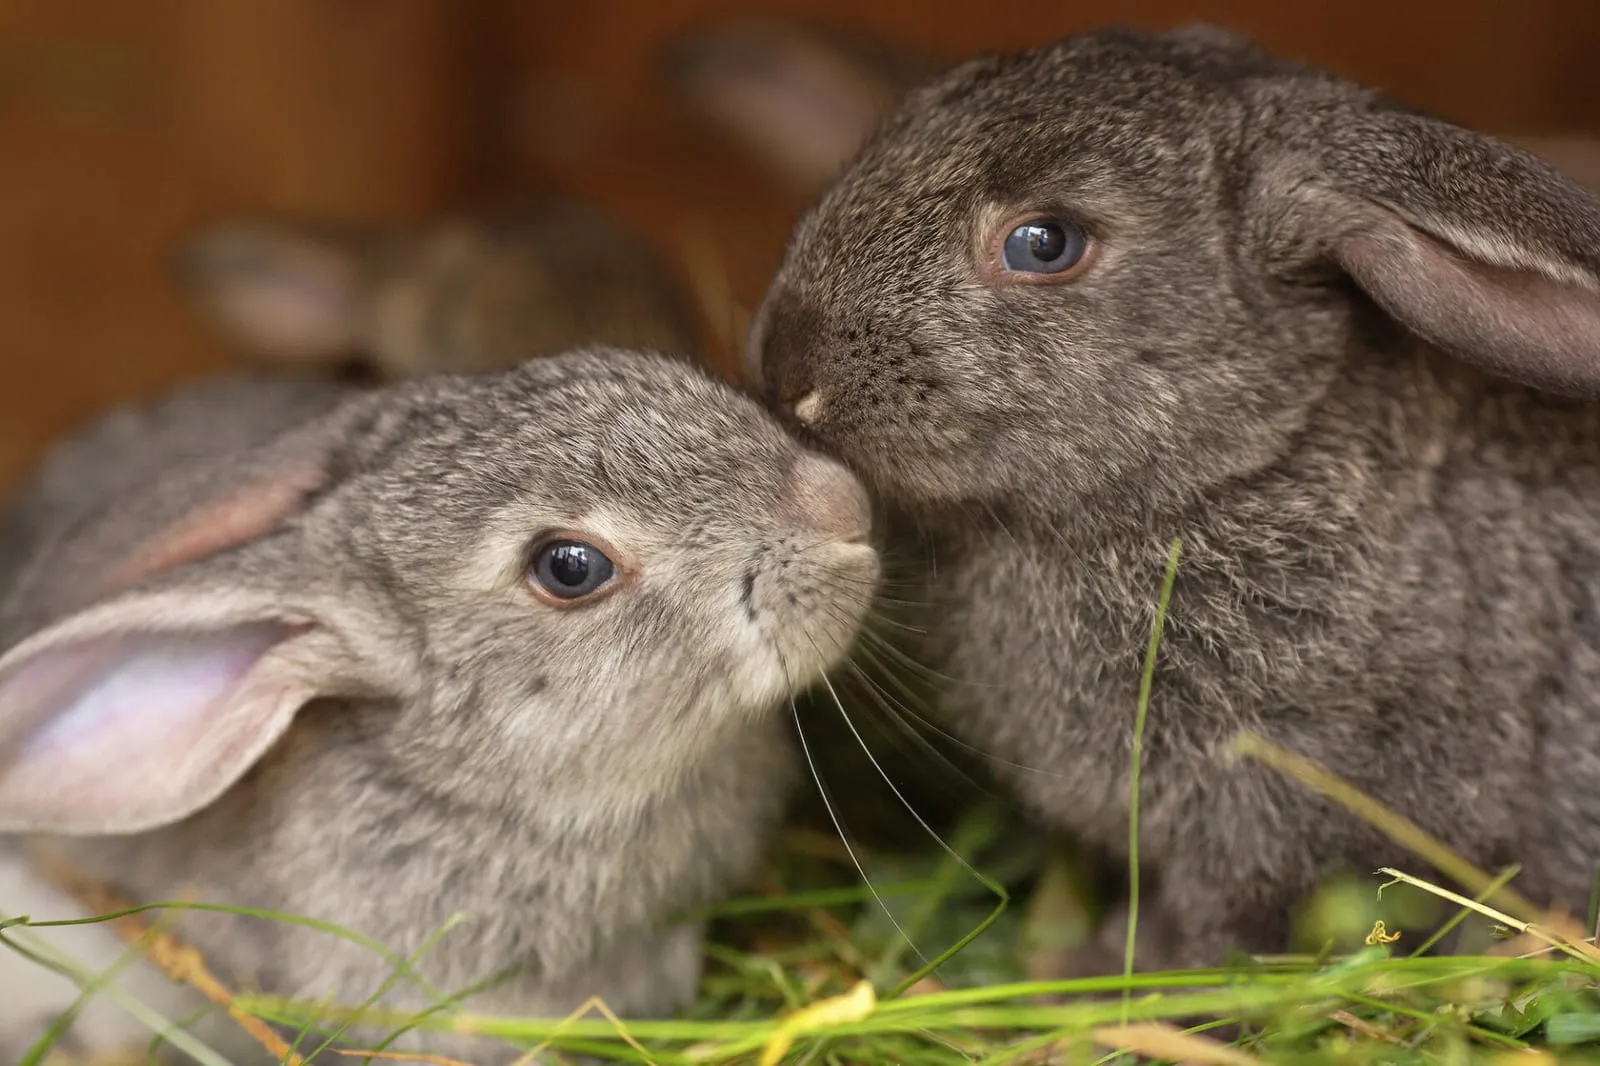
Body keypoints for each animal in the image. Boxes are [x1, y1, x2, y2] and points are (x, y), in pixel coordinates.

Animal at [747, 22, 1600, 974]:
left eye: (1044, 243)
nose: (784, 366)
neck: (1240, 468)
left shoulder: (1286, 808)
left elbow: (1225, 918)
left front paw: (1098, 979)